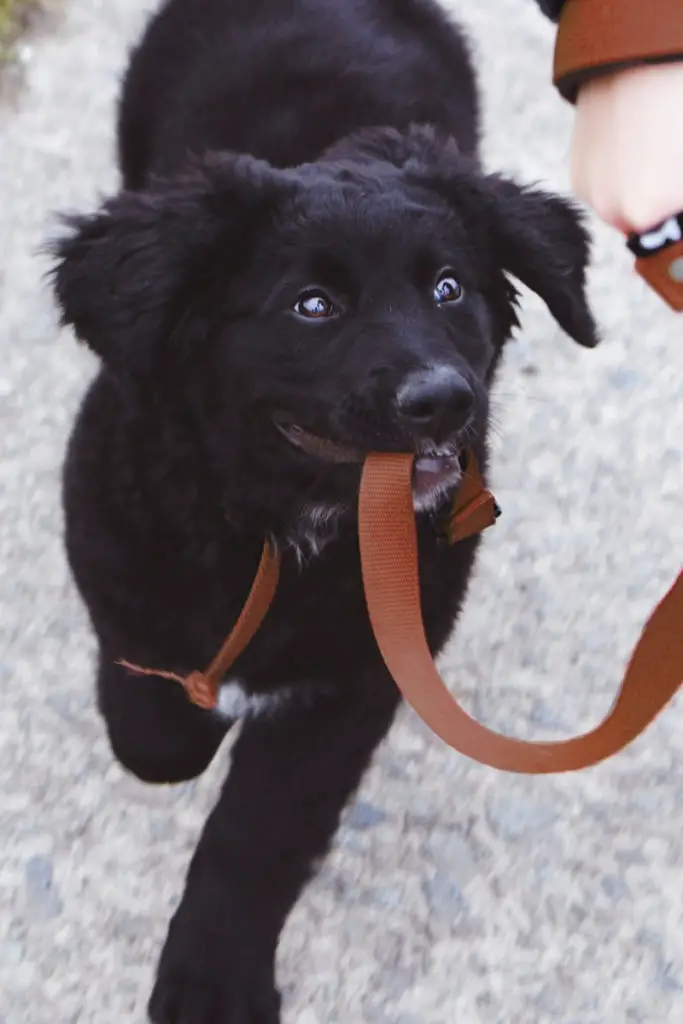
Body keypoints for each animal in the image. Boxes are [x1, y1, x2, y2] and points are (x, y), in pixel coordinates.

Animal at [49, 2, 598, 1024]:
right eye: (312, 306)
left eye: (449, 288)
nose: (443, 401)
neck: (285, 522)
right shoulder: (120, 557)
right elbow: (153, 735)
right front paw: (190, 719)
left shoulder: (361, 675)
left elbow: (255, 838)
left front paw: (211, 979)